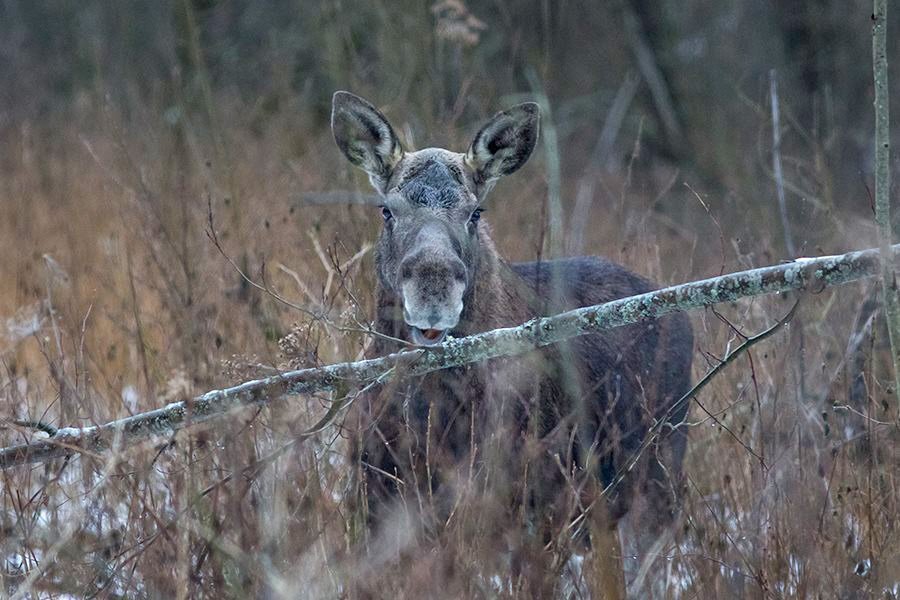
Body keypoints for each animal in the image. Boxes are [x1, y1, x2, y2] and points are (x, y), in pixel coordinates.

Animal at [334, 91, 692, 596]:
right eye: (387, 209)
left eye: (475, 212)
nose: (432, 292)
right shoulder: (374, 497)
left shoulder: (522, 507)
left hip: (656, 476)